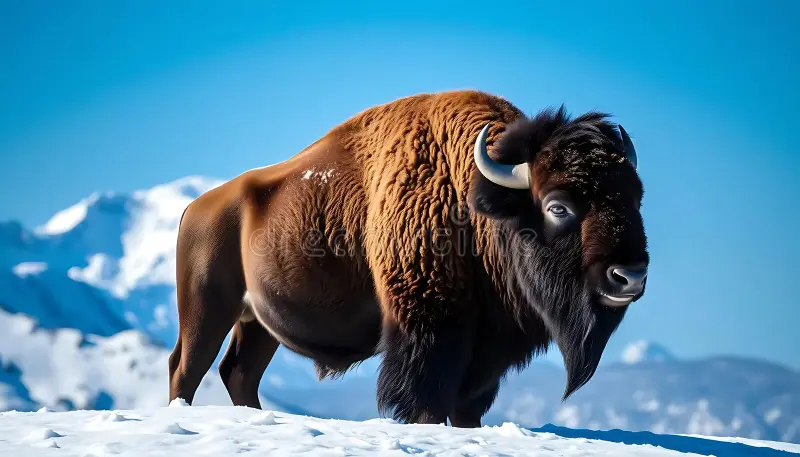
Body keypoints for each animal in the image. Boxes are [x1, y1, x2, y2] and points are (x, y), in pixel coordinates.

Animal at [168, 90, 649, 427]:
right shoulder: (428, 331)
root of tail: (196, 207)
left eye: (635, 198)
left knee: (239, 372)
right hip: (207, 310)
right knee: (186, 369)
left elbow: (468, 408)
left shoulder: (486, 350)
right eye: (558, 207)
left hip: (258, 323)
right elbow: (426, 401)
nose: (629, 276)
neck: (477, 201)